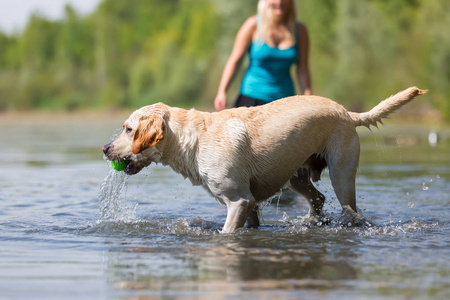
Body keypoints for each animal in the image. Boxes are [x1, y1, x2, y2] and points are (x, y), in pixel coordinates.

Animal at [102, 86, 426, 232]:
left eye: (128, 129)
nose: (105, 148)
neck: (192, 139)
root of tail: (348, 112)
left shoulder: (238, 200)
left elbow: (226, 232)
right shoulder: (251, 203)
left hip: (342, 174)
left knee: (350, 209)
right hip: (296, 174)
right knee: (318, 198)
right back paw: (312, 222)